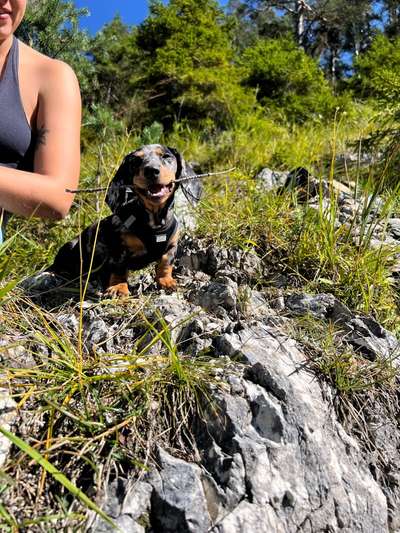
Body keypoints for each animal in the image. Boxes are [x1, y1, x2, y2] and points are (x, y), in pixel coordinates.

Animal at [50, 143, 200, 298]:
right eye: (135, 161)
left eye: (166, 156)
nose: (151, 171)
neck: (155, 223)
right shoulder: (118, 248)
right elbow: (119, 269)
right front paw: (118, 287)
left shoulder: (171, 247)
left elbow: (165, 264)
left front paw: (166, 281)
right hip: (70, 247)